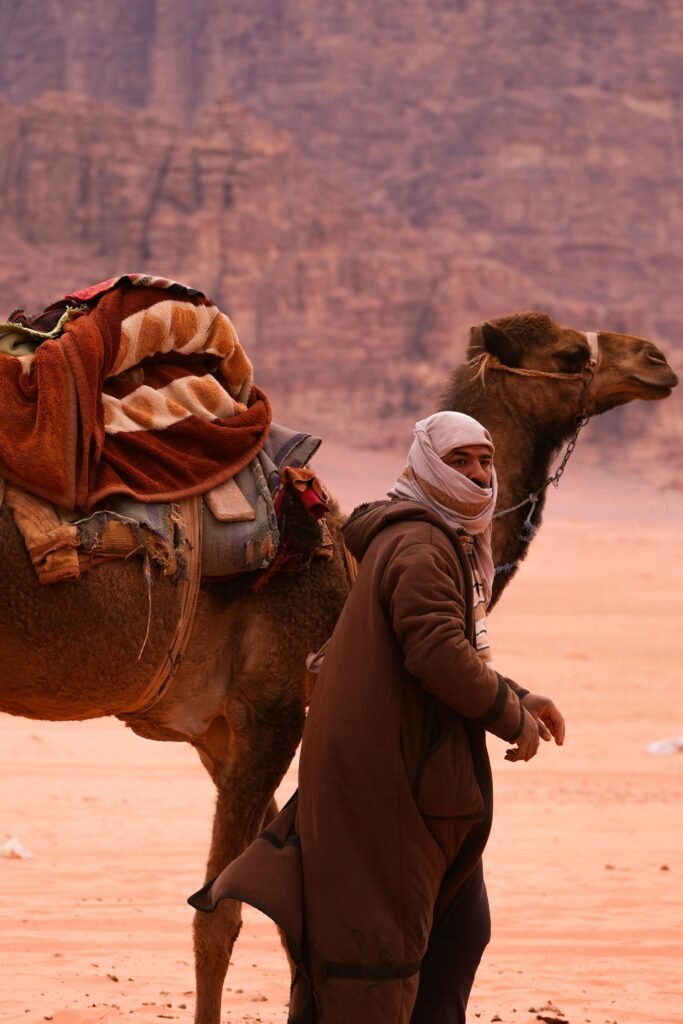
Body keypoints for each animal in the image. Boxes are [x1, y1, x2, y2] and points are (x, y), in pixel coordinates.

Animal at [0, 312, 677, 1024]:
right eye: (570, 352)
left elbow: (284, 906)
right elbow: (220, 916)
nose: (657, 361)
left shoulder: (218, 730)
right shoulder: (269, 709)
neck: (349, 555)